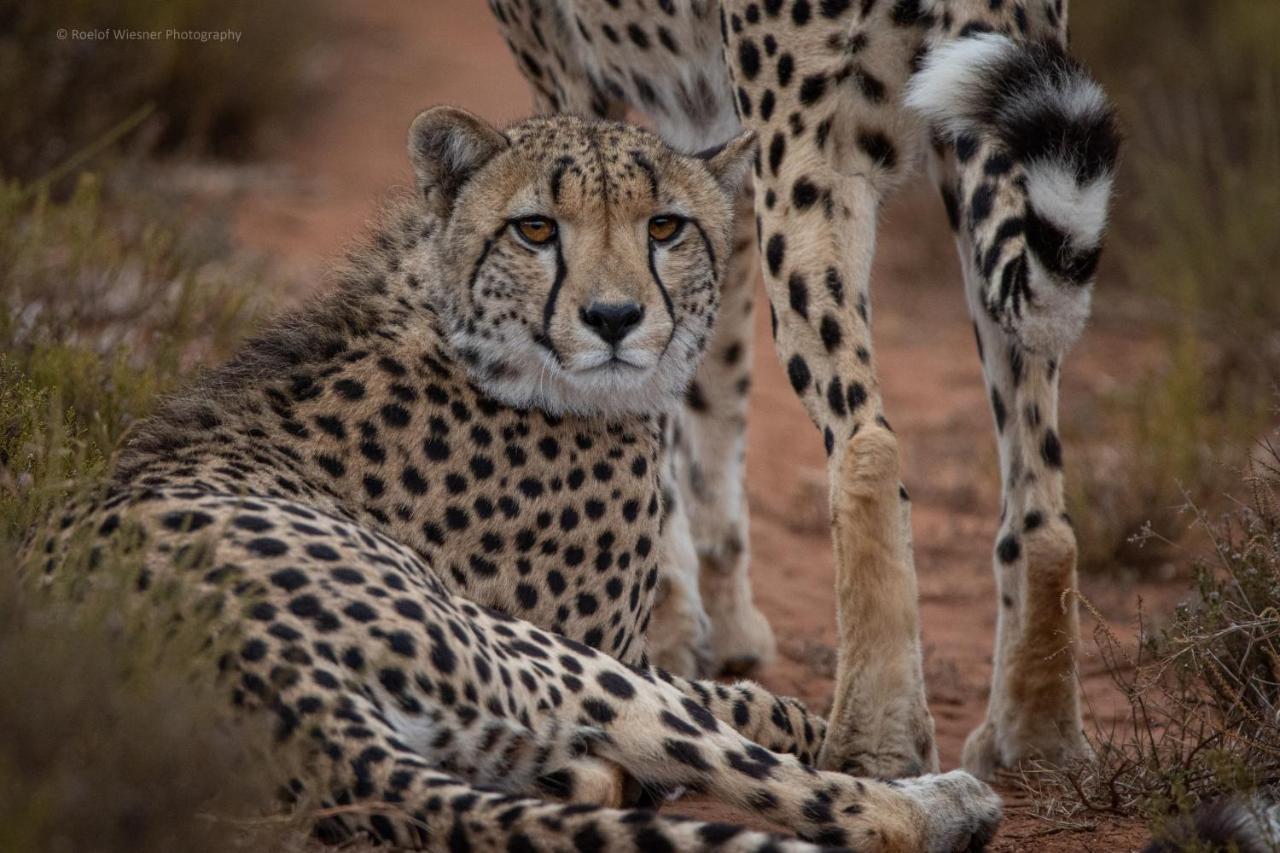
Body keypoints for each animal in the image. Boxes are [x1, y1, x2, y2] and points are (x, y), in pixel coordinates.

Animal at [37, 109, 998, 845]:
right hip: (529, 654)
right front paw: (824, 726)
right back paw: (946, 801)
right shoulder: (607, 647)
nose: (613, 317)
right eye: (537, 228)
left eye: (665, 227)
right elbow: (729, 695)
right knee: (822, 802)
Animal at [488, 0, 1121, 778]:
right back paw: (1035, 735)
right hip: (982, 130)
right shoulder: (698, 154)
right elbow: (707, 383)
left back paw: (873, 738)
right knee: (1038, 494)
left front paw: (665, 624)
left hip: (811, 166)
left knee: (868, 442)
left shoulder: (577, 94)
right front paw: (716, 622)